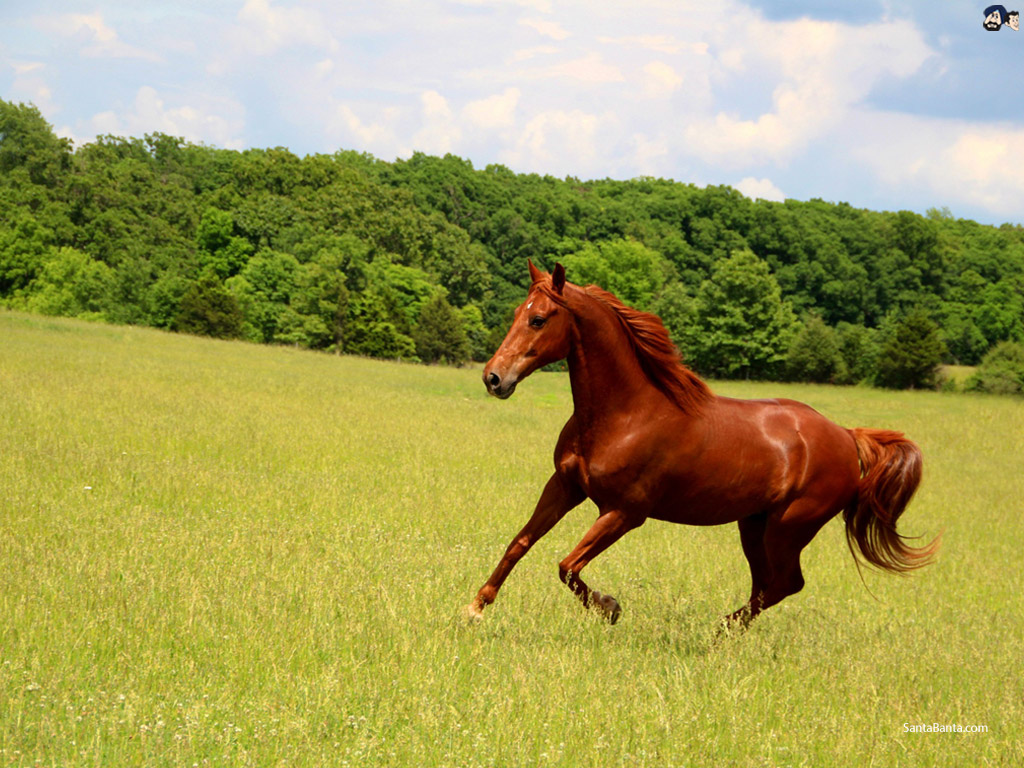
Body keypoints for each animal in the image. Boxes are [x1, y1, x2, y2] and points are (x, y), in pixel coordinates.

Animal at [468, 262, 937, 626]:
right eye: (517, 312)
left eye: (539, 319)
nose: (493, 378)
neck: (626, 414)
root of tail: (846, 436)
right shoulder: (564, 487)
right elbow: (520, 543)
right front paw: (476, 606)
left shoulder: (624, 512)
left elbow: (567, 566)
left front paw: (610, 606)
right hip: (754, 525)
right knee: (768, 584)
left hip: (789, 528)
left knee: (786, 584)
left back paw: (719, 630)